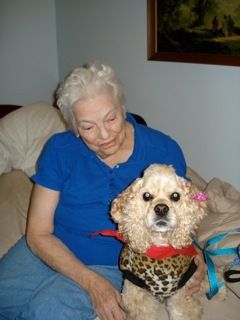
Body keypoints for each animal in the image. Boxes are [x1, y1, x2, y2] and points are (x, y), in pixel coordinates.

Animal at [110, 165, 208, 320]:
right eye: (146, 196)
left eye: (175, 196)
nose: (161, 208)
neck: (161, 246)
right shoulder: (138, 297)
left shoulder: (182, 296)